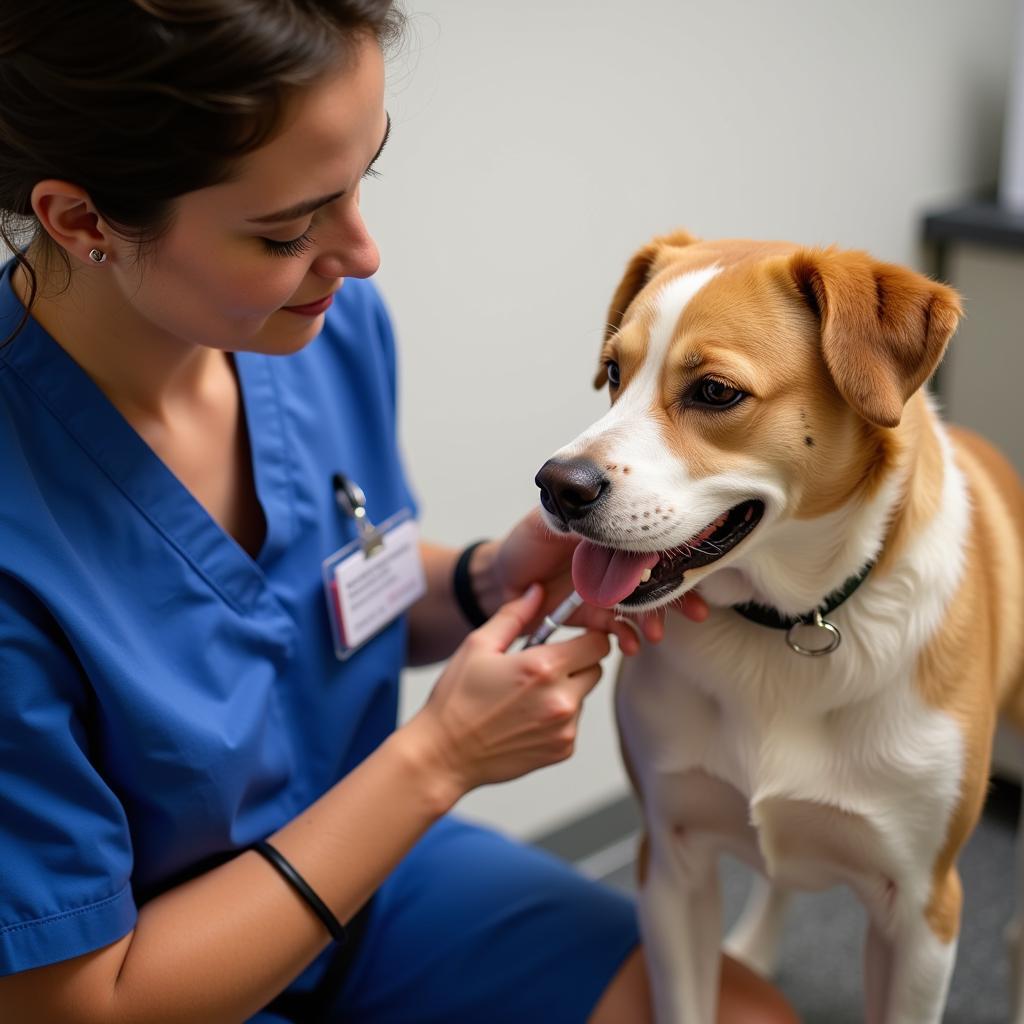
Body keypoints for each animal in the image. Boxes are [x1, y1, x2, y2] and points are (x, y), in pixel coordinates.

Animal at [536, 232, 1024, 1024]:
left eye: (714, 392)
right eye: (614, 372)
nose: (556, 486)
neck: (784, 625)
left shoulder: (922, 916)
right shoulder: (670, 864)